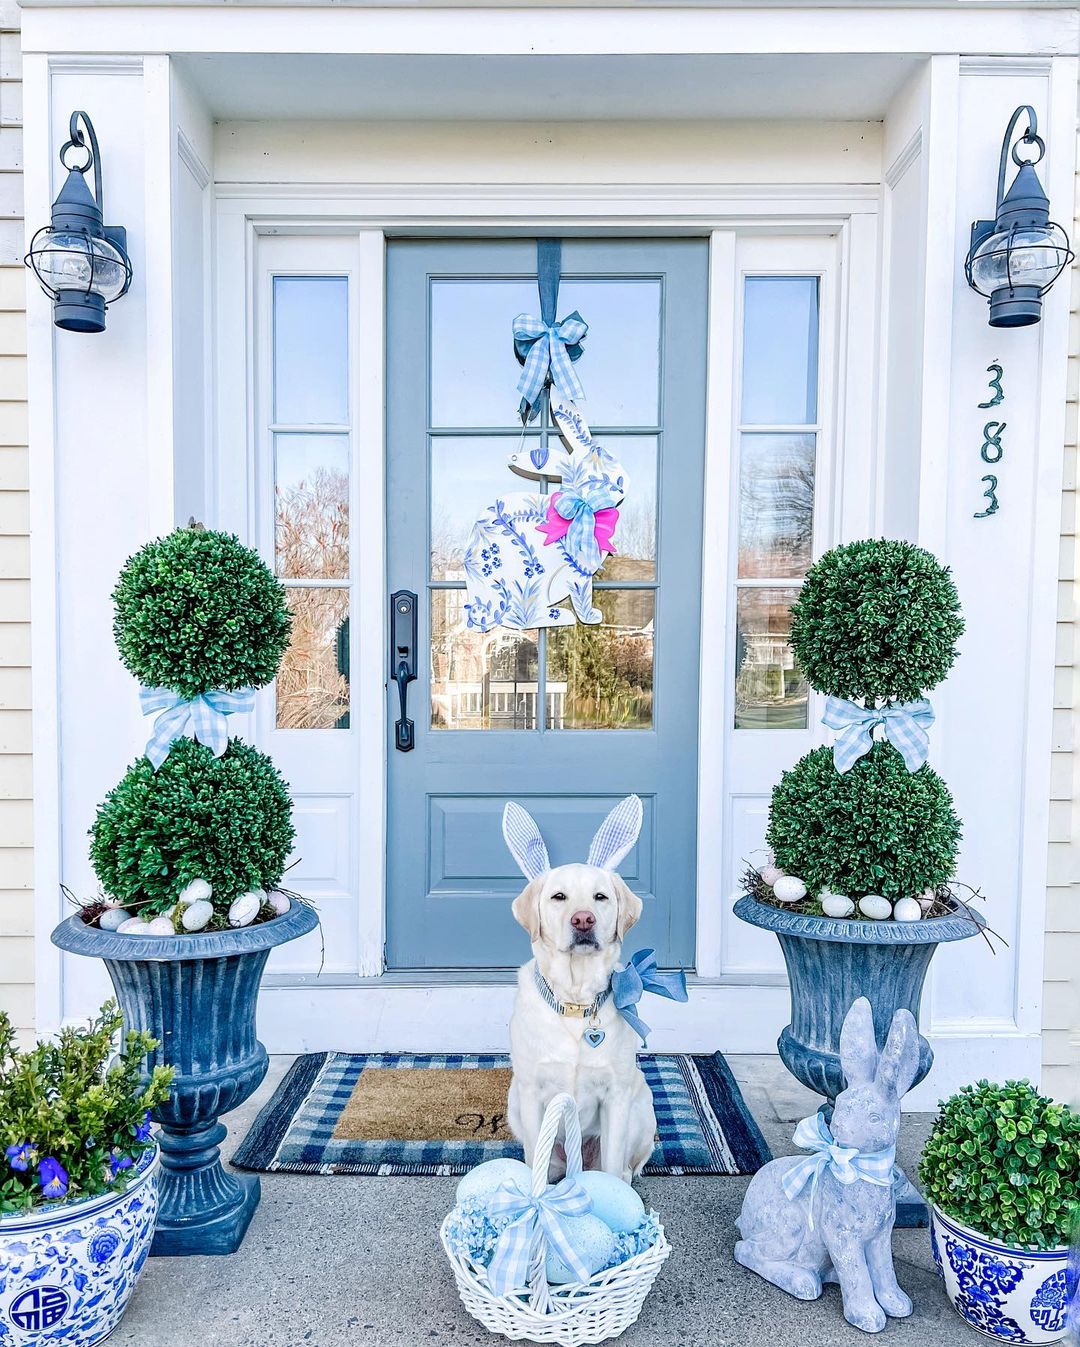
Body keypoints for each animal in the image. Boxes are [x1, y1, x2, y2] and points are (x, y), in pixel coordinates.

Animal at [506, 792, 657, 1185]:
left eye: (600, 897)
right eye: (558, 897)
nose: (583, 920)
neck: (575, 1003)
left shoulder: (616, 1095)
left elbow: (614, 1159)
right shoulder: (531, 1093)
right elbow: (536, 1157)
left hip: (642, 1106)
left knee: (625, 1167)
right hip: (514, 1103)